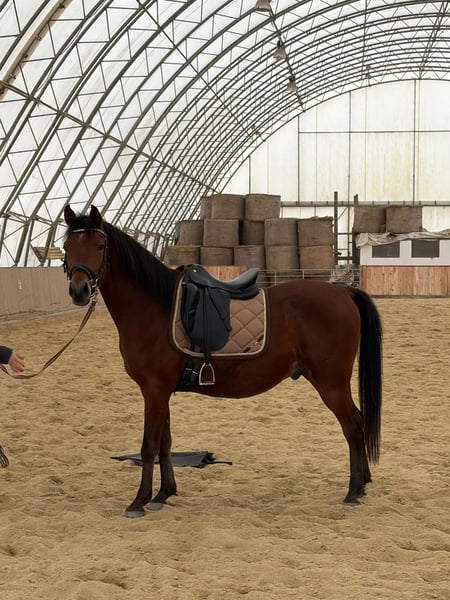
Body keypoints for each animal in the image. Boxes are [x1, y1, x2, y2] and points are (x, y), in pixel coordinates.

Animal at [63, 205, 382, 518]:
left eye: (100, 246)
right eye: (66, 247)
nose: (79, 291)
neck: (155, 307)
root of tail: (344, 291)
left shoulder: (154, 390)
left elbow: (148, 446)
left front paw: (139, 501)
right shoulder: (161, 391)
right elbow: (165, 442)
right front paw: (164, 494)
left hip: (331, 382)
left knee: (353, 425)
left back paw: (354, 490)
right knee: (358, 422)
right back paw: (364, 484)